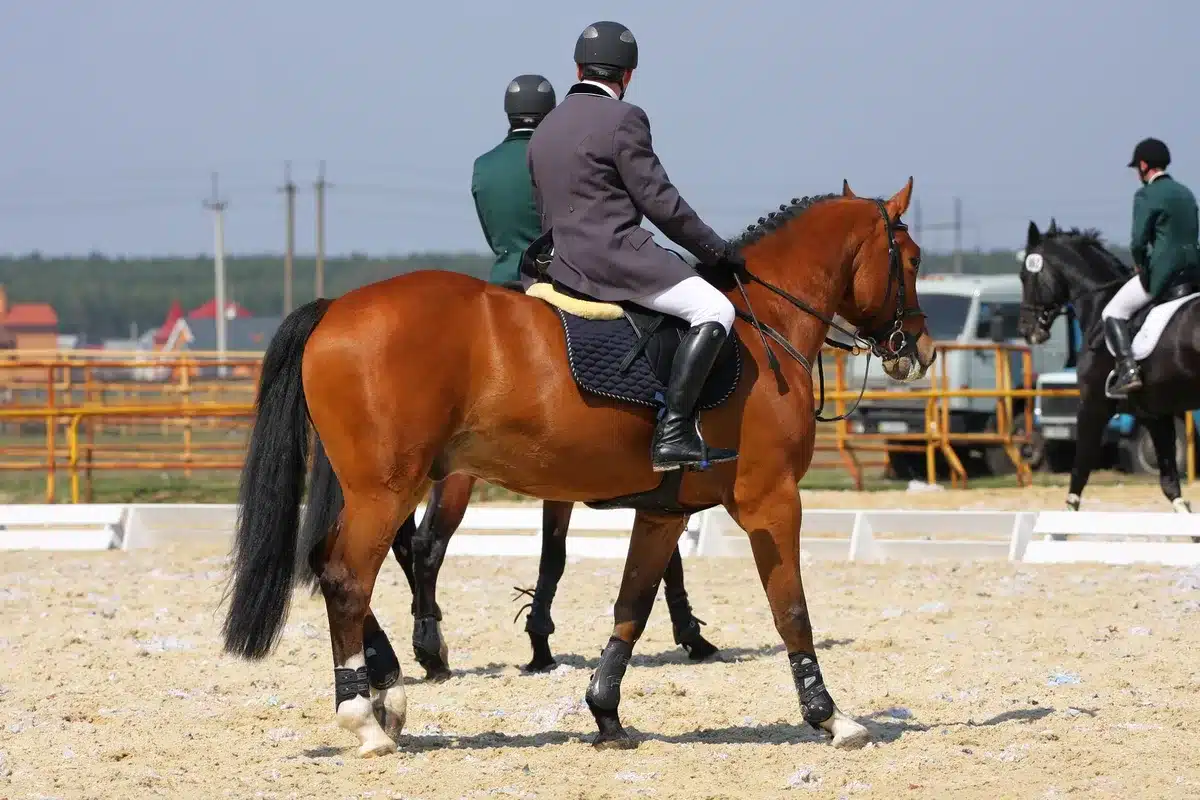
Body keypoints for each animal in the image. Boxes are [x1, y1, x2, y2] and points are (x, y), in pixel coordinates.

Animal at [387, 474, 719, 680]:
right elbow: (667, 564)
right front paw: (693, 638)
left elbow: (552, 558)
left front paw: (540, 644)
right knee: (427, 545)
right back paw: (432, 651)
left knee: (405, 545)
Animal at [1017, 219, 1198, 516]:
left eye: (1024, 275)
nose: (1026, 330)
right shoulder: (1154, 414)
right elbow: (1170, 482)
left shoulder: (1093, 406)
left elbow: (1080, 469)